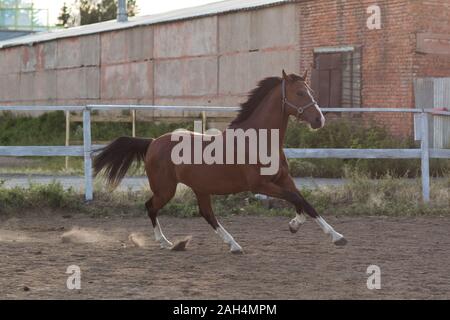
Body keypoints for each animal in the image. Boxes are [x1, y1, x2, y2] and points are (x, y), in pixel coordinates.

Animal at [94, 70, 348, 252]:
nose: (319, 120)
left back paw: (233, 245)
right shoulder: (259, 185)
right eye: (299, 93)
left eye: (310, 91)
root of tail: (153, 142)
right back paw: (166, 243)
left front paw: (334, 236)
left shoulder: (284, 179)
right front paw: (297, 225)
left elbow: (305, 202)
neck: (259, 140)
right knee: (150, 207)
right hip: (166, 189)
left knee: (207, 214)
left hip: (200, 189)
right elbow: (296, 199)